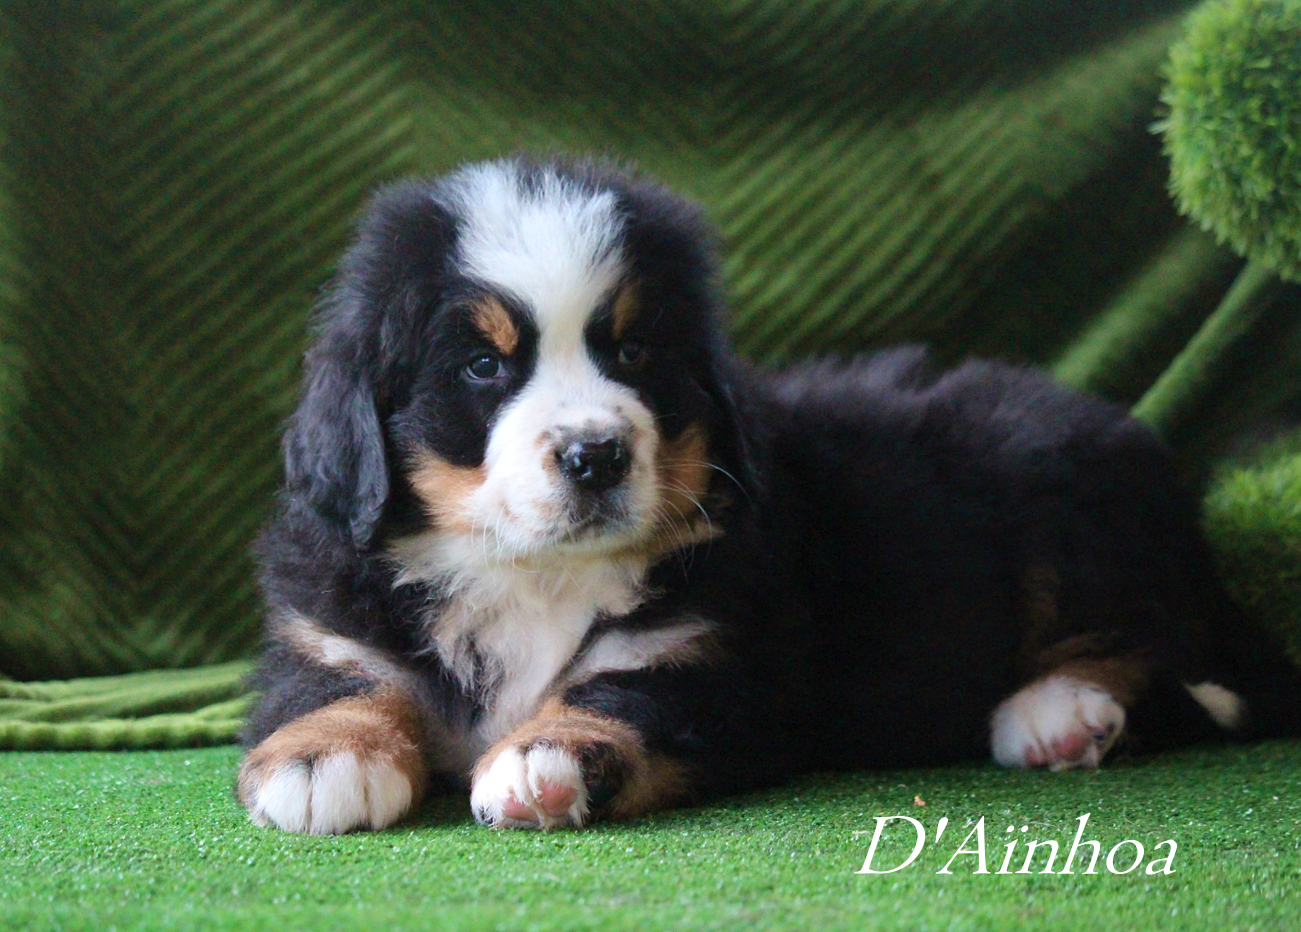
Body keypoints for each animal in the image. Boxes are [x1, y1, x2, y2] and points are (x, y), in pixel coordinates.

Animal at [238, 156, 1301, 834]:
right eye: (481, 366)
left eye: (634, 350)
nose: (594, 455)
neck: (532, 576)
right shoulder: (328, 618)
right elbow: (339, 679)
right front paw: (322, 759)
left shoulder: (713, 649)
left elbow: (621, 692)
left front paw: (547, 758)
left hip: (1058, 499)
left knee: (1153, 642)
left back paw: (1057, 711)